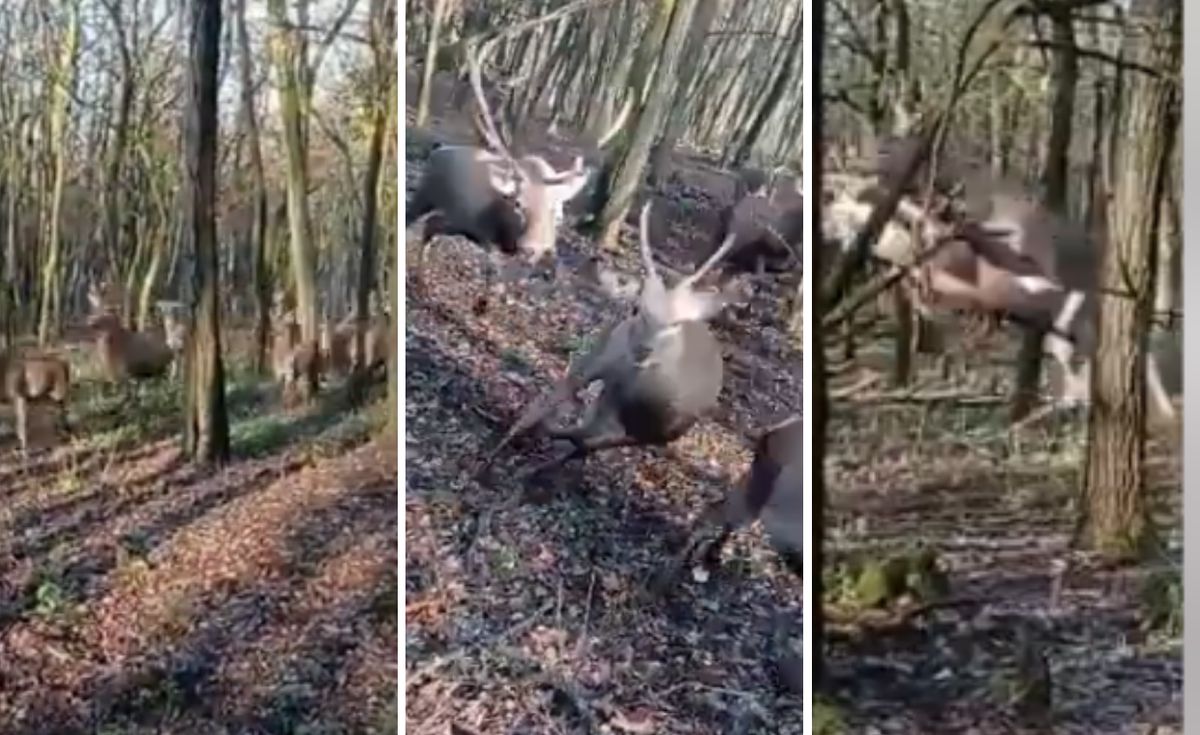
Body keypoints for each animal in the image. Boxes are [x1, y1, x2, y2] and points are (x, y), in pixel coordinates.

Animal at [475, 199, 739, 482]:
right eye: (636, 309)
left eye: (675, 326)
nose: (644, 350)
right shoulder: (601, 360)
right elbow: (548, 403)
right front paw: (496, 452)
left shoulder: (659, 433)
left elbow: (587, 442)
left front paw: (530, 464)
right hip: (606, 360)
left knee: (589, 435)